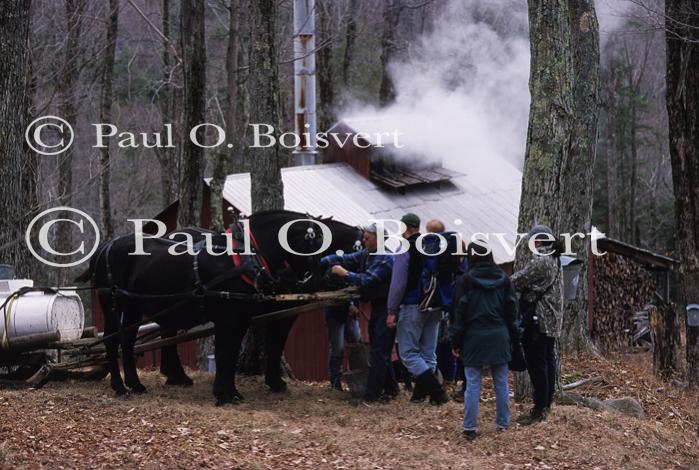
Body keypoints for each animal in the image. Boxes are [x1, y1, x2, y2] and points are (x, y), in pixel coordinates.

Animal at [78, 209, 360, 404]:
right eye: (314, 243)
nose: (306, 281)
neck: (245, 258)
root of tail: (106, 246)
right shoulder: (232, 317)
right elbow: (230, 352)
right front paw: (226, 394)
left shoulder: (243, 317)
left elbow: (233, 352)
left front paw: (232, 391)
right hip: (111, 303)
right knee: (112, 340)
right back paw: (120, 386)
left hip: (133, 306)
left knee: (127, 340)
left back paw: (137, 384)